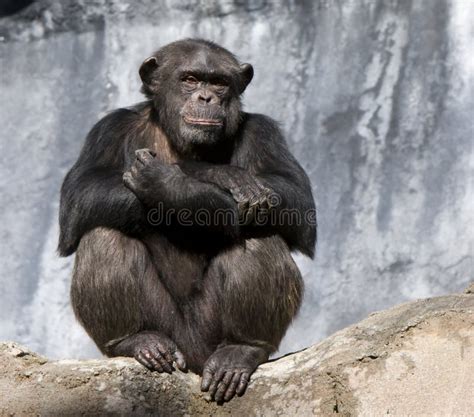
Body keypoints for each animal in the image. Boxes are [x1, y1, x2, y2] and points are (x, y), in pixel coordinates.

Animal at [60, 38, 318, 400]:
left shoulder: (263, 131)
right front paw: (215, 176)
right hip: (169, 330)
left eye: (219, 82)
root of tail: (194, 365)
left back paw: (242, 349)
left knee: (259, 234)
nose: (206, 98)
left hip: (208, 336)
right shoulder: (108, 130)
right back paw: (135, 340)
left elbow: (296, 200)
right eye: (191, 79)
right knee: (104, 234)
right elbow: (79, 196)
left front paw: (175, 184)